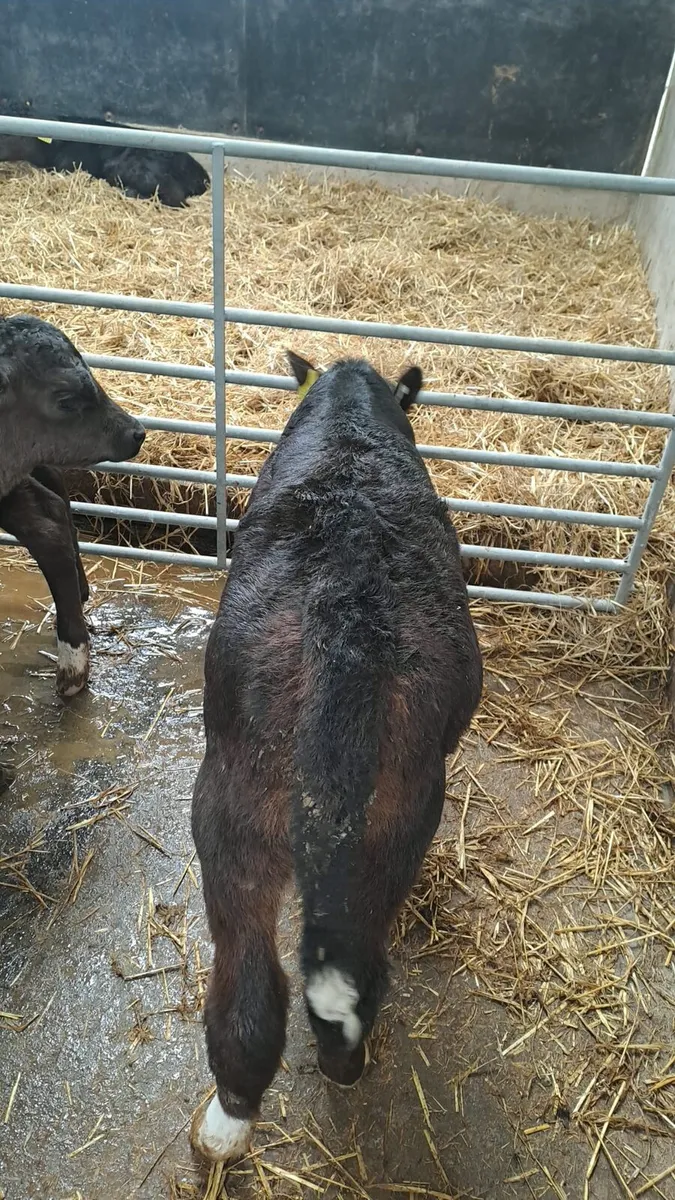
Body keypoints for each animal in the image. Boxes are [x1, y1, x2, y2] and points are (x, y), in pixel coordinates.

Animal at [190, 351, 483, 1163]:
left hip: (233, 811)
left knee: (251, 993)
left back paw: (227, 1120)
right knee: (358, 969)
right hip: (395, 826)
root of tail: (349, 613)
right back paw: (341, 1065)